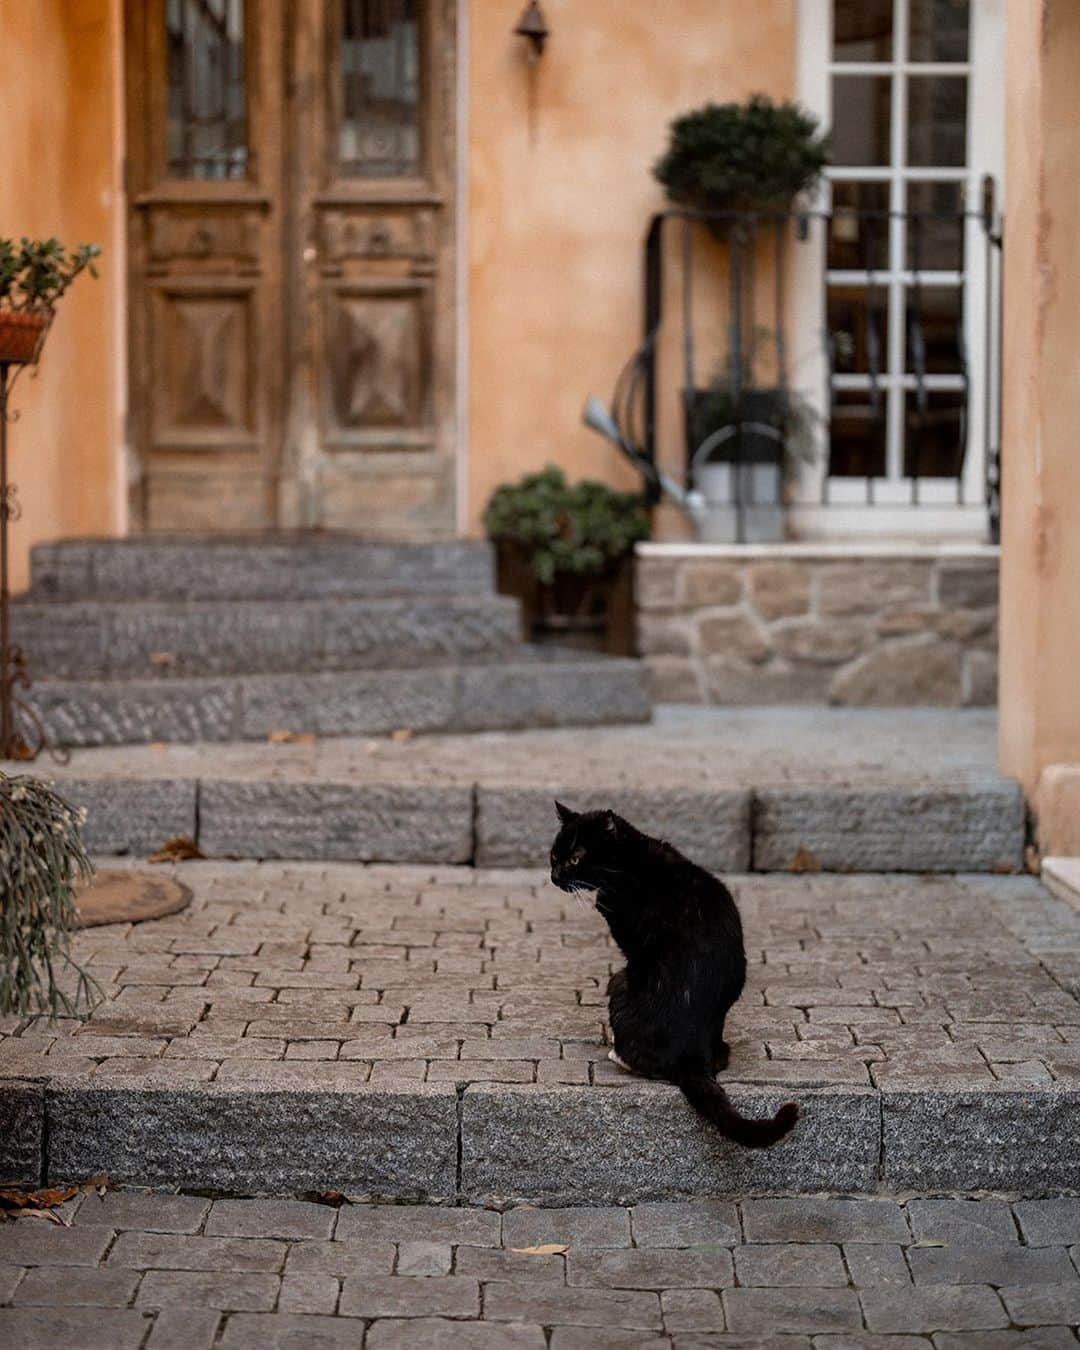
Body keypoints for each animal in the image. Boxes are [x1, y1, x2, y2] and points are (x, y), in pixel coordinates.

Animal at [553, 799, 799, 1150]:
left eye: (575, 858)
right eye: (553, 856)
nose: (554, 876)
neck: (631, 859)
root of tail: (689, 1052)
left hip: (623, 988)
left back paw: (615, 1050)